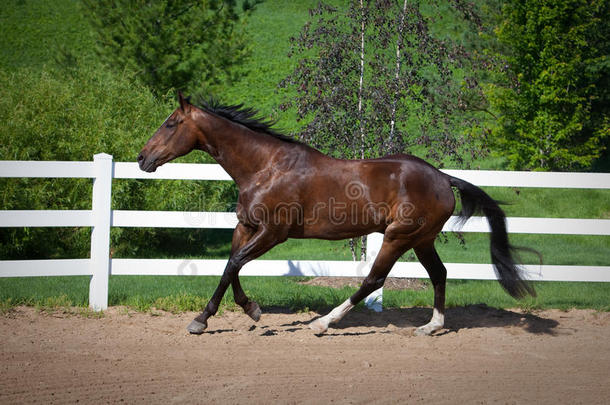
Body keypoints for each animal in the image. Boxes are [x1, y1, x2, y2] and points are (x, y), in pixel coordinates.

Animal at [138, 93, 532, 336]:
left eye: (171, 123)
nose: (143, 158)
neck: (266, 167)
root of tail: (443, 178)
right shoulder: (246, 226)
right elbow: (230, 266)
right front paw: (242, 311)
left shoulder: (273, 232)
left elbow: (234, 263)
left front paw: (207, 319)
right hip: (422, 239)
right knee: (439, 273)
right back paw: (430, 327)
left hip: (399, 236)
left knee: (373, 279)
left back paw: (323, 323)